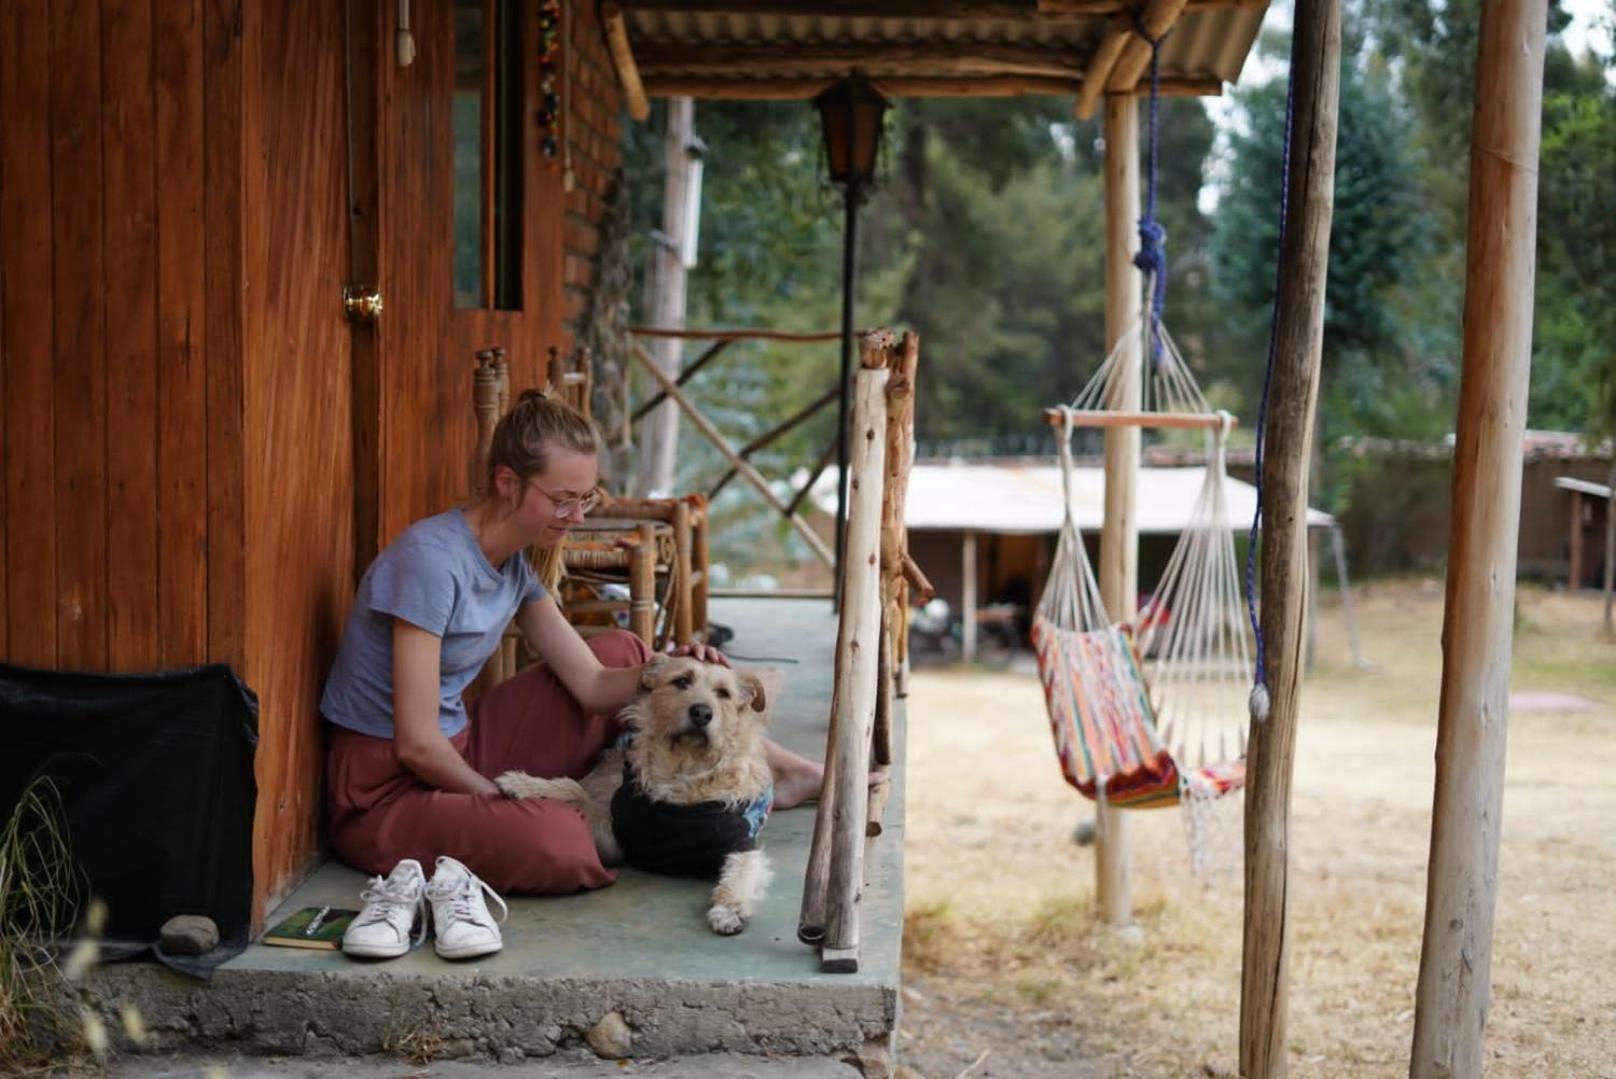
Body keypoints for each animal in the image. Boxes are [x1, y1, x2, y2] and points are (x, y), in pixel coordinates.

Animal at [494, 659, 772, 936]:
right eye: (681, 681)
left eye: (724, 693)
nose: (702, 713)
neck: (684, 772)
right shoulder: (615, 837)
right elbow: (574, 789)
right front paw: (523, 783)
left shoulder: (740, 843)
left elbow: (740, 874)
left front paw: (730, 909)